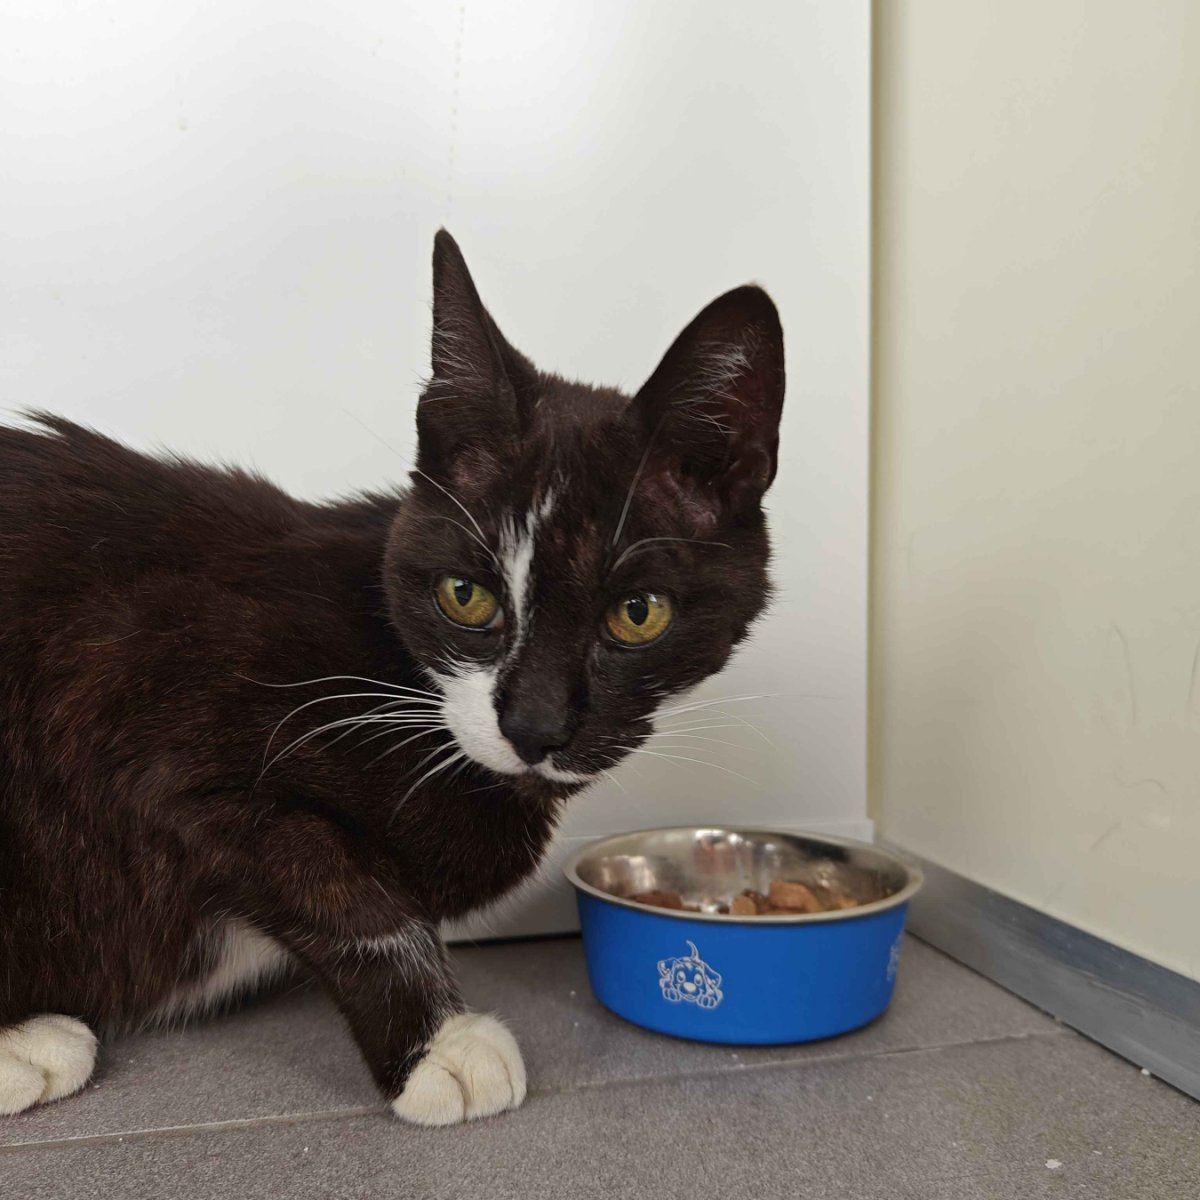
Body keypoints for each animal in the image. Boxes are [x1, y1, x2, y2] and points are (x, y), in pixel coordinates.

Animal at [0, 230, 785, 1125]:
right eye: (465, 594)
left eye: (639, 612)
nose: (535, 726)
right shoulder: (130, 705)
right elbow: (344, 886)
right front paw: (439, 1045)